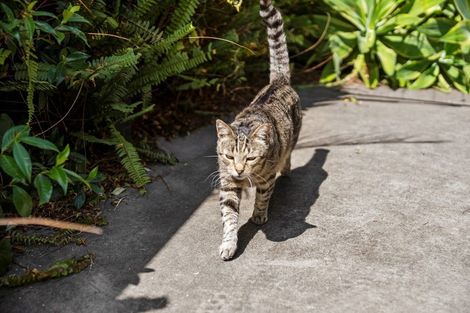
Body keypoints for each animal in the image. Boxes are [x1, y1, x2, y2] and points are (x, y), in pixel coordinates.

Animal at [216, 0, 302, 258]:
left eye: (251, 158)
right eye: (229, 156)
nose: (239, 170)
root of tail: (278, 81)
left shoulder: (266, 179)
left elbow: (263, 198)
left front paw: (258, 215)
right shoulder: (227, 183)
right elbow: (229, 217)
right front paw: (229, 243)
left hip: (293, 136)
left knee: (288, 155)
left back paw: (286, 170)